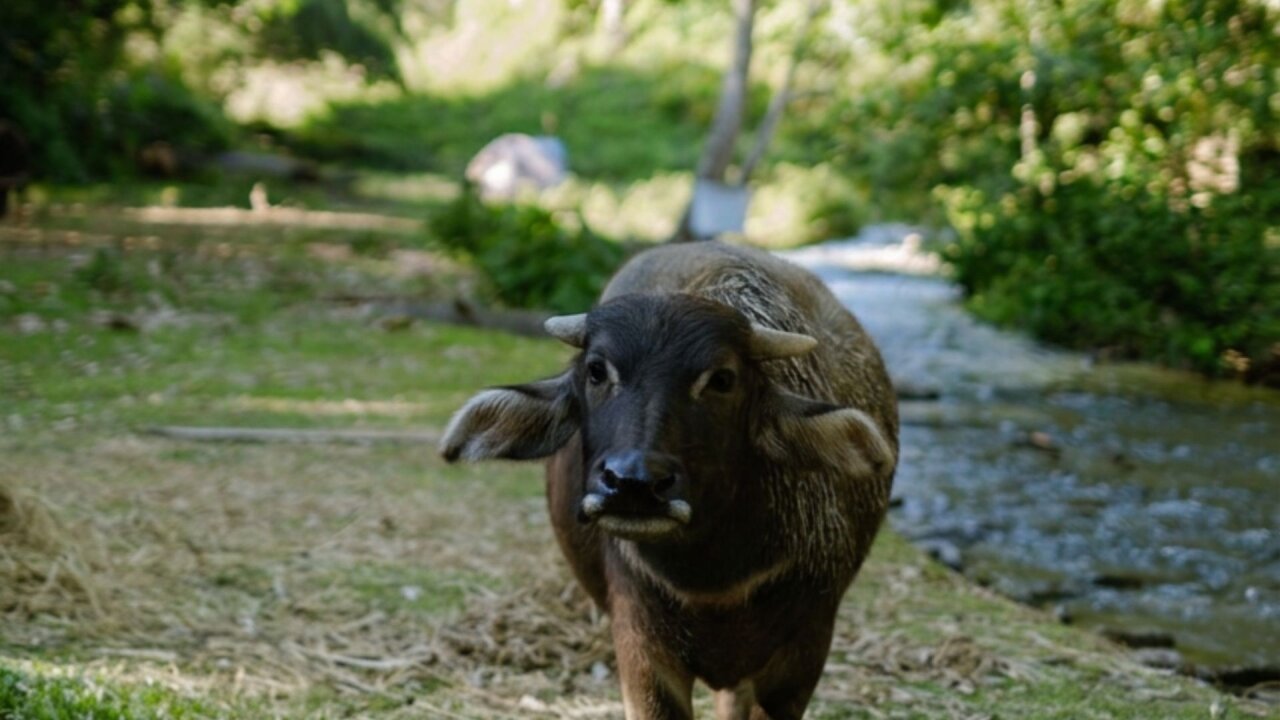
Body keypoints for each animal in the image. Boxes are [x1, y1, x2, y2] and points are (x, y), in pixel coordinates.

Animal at [441, 241, 898, 719]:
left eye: (722, 379)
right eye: (597, 370)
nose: (633, 483)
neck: (712, 583)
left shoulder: (804, 651)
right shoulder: (641, 644)